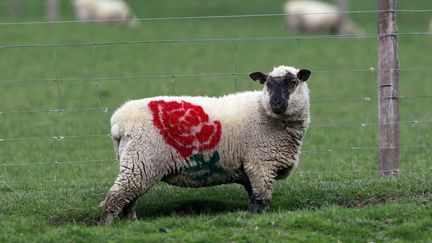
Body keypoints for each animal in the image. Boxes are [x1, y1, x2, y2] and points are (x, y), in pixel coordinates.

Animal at [99, 65, 312, 225]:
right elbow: (262, 200)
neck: (263, 112)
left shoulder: (250, 168)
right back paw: (106, 225)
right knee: (117, 195)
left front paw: (252, 216)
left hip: (135, 162)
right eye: (268, 84)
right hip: (141, 160)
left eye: (293, 82)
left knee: (129, 197)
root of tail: (119, 120)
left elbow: (253, 199)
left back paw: (131, 223)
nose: (276, 102)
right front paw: (260, 219)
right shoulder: (261, 165)